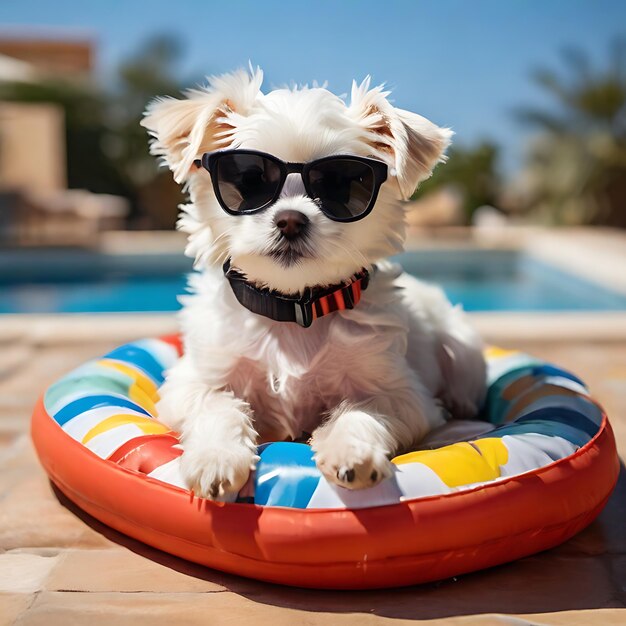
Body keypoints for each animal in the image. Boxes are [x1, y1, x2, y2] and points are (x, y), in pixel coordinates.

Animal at [143, 66, 488, 500]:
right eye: (250, 179)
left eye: (342, 185)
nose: (290, 219)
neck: (291, 310)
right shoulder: (191, 382)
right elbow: (217, 403)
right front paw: (216, 458)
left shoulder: (406, 396)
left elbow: (362, 409)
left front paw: (351, 451)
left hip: (463, 352)